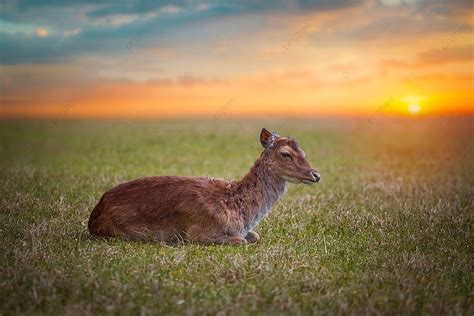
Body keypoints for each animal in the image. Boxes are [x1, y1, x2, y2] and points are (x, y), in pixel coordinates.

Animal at [87, 128, 320, 244]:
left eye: (304, 152)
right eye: (286, 154)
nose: (315, 174)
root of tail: (94, 215)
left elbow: (255, 236)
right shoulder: (198, 233)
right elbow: (241, 241)